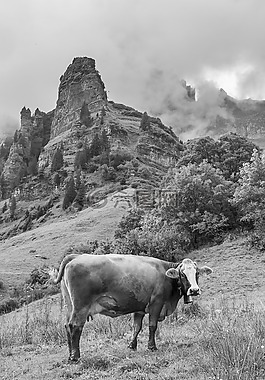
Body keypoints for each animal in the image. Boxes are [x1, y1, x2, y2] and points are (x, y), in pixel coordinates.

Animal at [49, 254, 211, 360]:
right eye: (182, 274)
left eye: (197, 273)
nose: (194, 290)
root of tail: (76, 256)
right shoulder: (156, 303)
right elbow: (152, 326)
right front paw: (152, 347)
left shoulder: (140, 307)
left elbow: (136, 327)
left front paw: (132, 346)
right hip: (80, 307)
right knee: (75, 326)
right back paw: (75, 356)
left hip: (70, 305)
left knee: (67, 326)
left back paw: (70, 354)